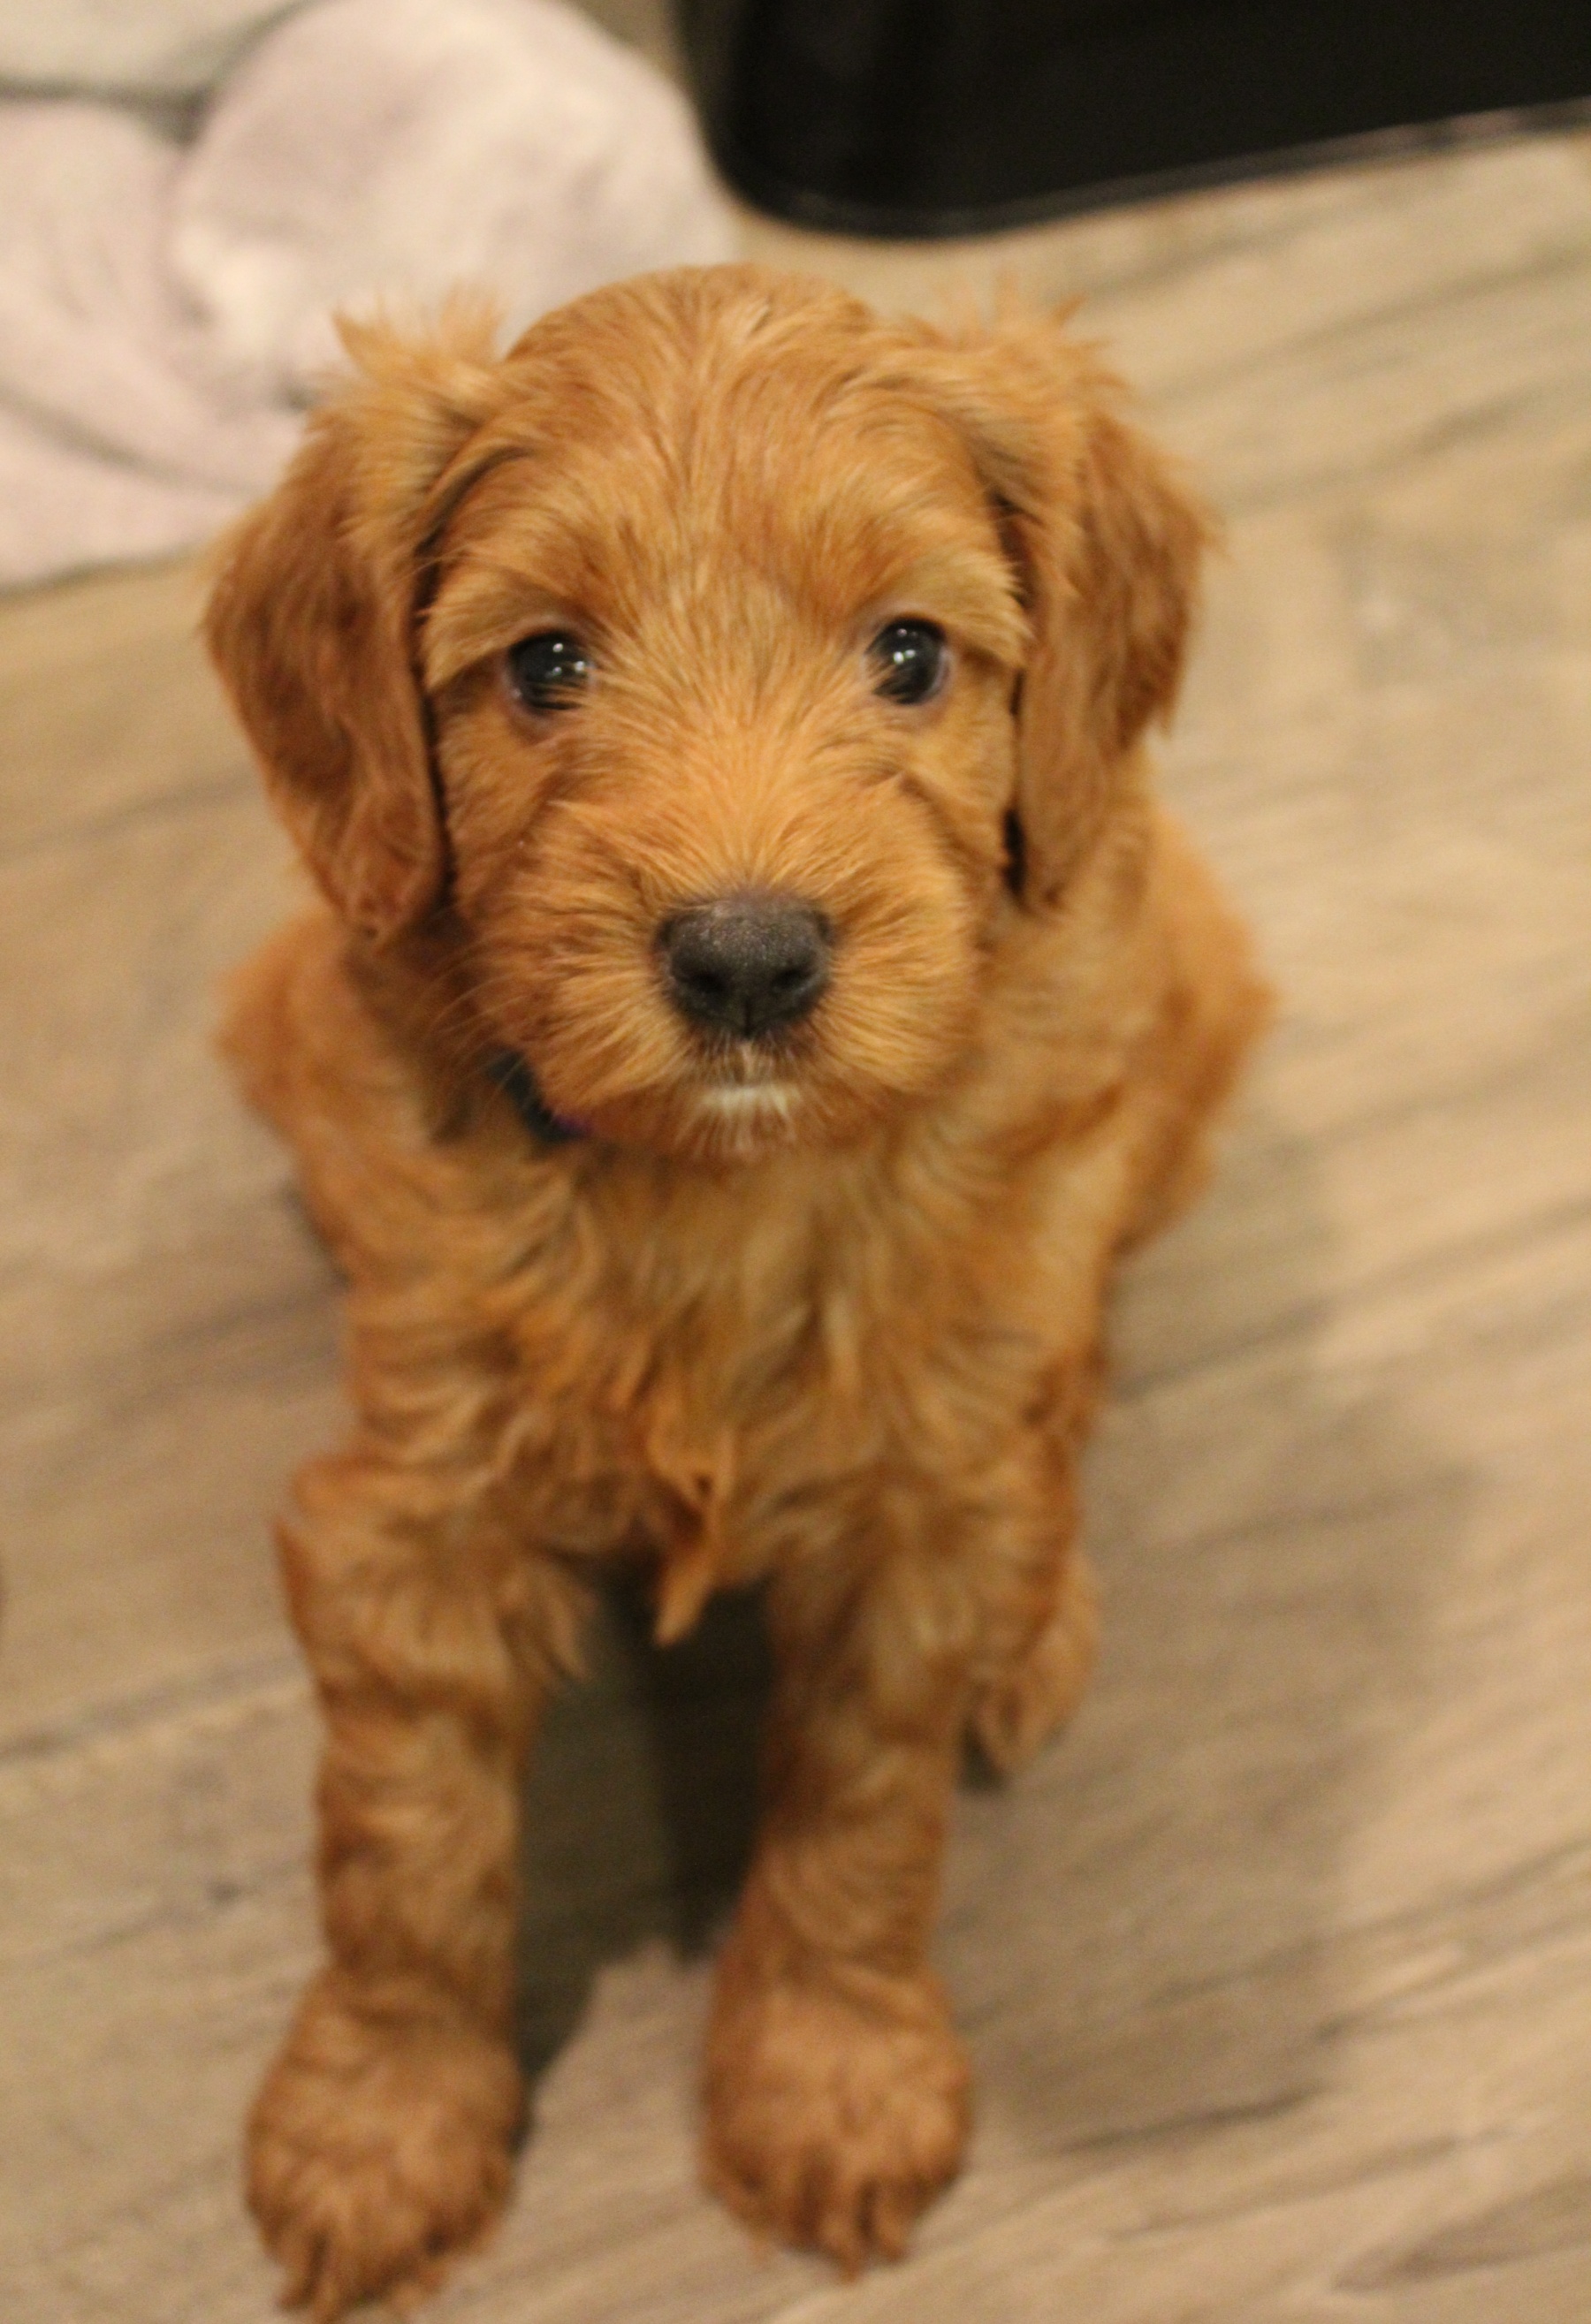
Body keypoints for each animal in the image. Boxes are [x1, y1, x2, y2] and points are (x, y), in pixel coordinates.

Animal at [206, 262, 1268, 2319]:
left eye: (912, 653)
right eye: (546, 665)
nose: (751, 959)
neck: (717, 1189)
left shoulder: (907, 1527)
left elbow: (864, 1815)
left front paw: (831, 2078)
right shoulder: (420, 1508)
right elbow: (403, 1844)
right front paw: (379, 2120)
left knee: (1070, 1360)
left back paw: (1041, 1608)